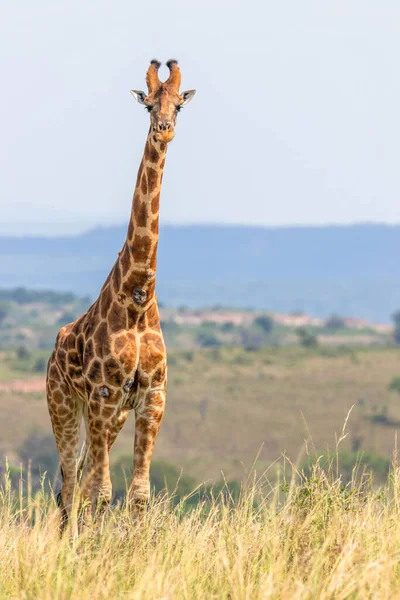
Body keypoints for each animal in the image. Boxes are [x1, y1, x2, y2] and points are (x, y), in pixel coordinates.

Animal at [46, 58, 196, 532]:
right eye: (148, 104)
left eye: (178, 105)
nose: (164, 129)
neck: (138, 297)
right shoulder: (103, 394)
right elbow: (102, 492)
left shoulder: (151, 397)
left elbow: (138, 494)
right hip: (64, 405)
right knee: (71, 485)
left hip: (111, 418)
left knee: (76, 482)